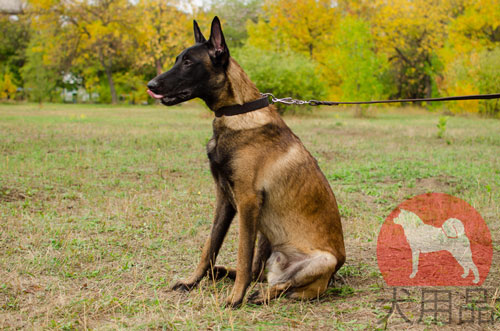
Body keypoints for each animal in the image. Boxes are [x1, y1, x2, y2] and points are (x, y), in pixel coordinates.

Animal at [146, 16, 346, 308]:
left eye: (188, 62)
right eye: (177, 59)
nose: (151, 85)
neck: (236, 112)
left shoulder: (247, 202)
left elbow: (242, 254)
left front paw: (234, 298)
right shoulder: (225, 199)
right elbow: (209, 246)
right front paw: (192, 282)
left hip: (322, 259)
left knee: (282, 285)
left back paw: (259, 294)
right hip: (266, 236)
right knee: (258, 272)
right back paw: (222, 274)